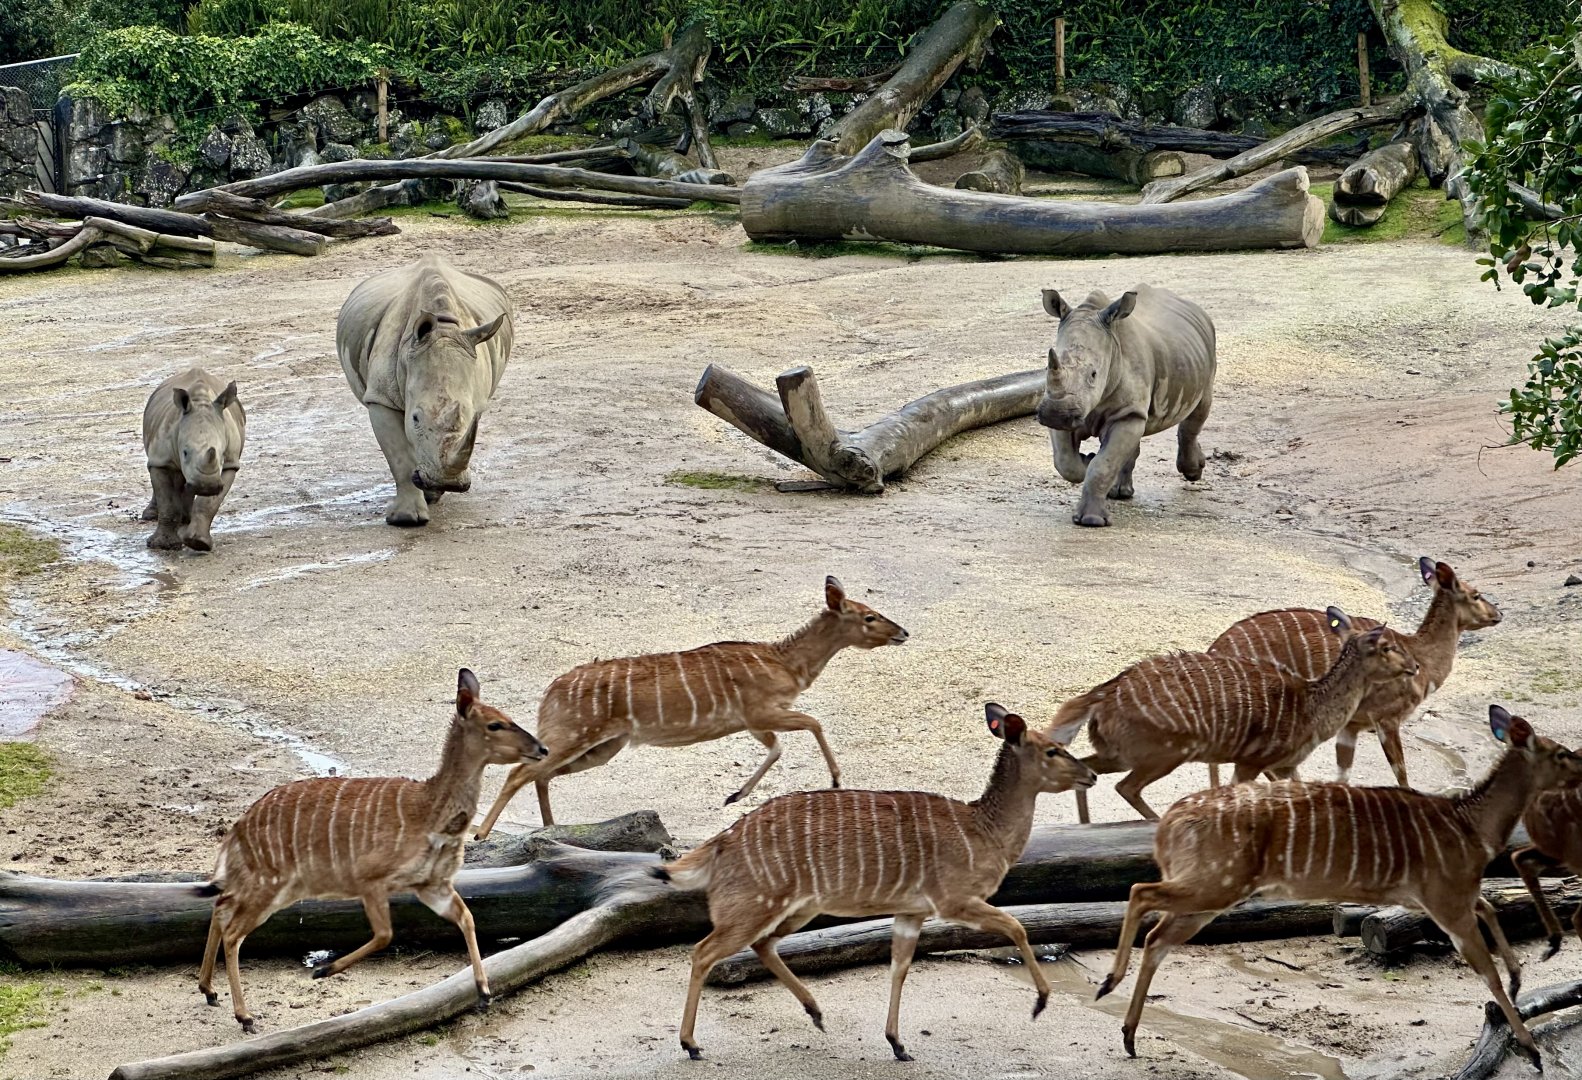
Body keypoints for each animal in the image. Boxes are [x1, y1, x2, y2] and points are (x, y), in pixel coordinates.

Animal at [141, 368, 246, 552]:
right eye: (184, 452)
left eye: (222, 454)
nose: (206, 486)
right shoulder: (161, 459)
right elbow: (167, 501)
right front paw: (162, 545)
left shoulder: (230, 464)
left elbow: (208, 504)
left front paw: (198, 543)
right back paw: (151, 516)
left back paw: (186, 519)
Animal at [336, 255, 514, 526]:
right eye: (415, 418)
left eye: (469, 414)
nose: (449, 483)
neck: (442, 327)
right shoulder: (380, 398)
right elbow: (399, 457)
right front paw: (406, 519)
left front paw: (432, 490)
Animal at [1036, 284, 1216, 527]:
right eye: (1047, 368)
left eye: (1094, 374)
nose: (1056, 414)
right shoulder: (1064, 407)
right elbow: (1065, 461)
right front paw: (1086, 460)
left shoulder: (1125, 414)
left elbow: (1104, 464)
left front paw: (1092, 520)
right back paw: (1119, 492)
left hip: (1206, 352)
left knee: (1198, 411)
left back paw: (1193, 473)